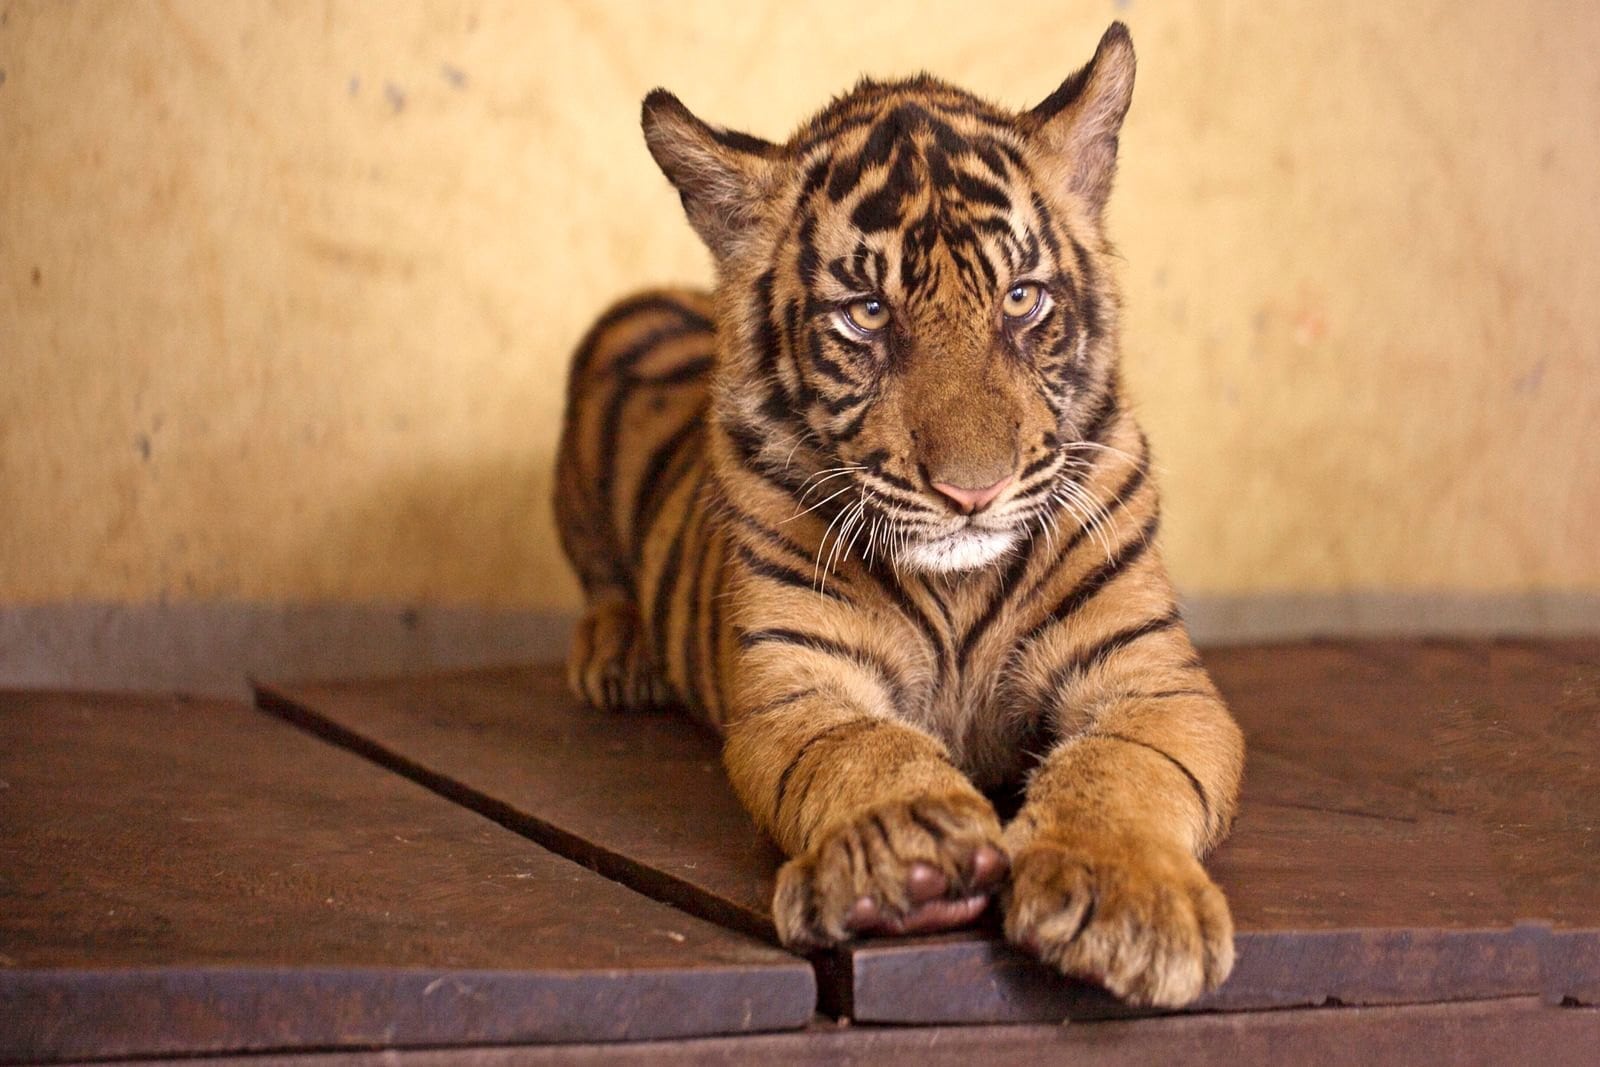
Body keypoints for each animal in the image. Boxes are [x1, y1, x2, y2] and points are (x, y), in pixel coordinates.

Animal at [554, 22, 1244, 1008]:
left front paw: (1123, 896)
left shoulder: (1151, 677)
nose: (972, 492)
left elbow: (1122, 768)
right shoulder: (802, 680)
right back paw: (616, 652)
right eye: (867, 313)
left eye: (1021, 298)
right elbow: (861, 748)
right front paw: (909, 851)